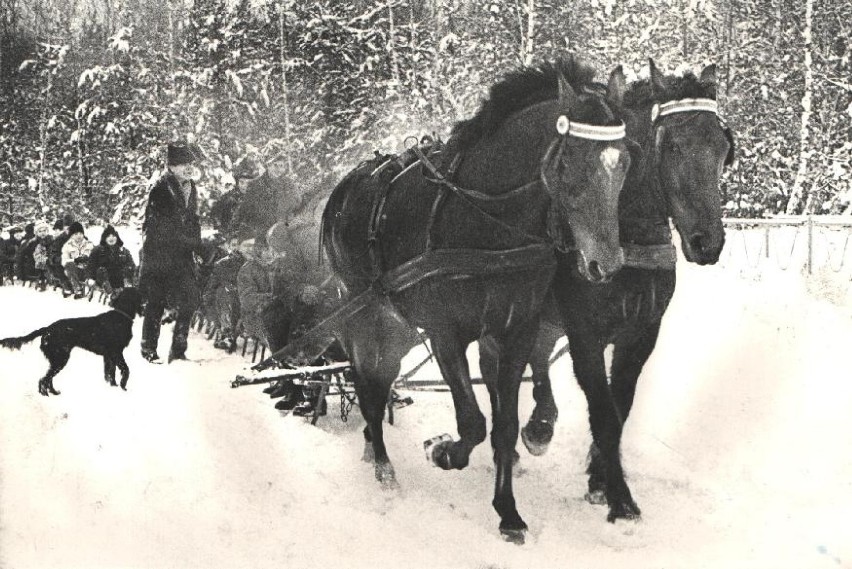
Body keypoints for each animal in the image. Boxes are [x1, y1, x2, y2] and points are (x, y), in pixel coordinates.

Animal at [0, 288, 145, 394]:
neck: (121, 316)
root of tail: (47, 329)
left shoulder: (109, 355)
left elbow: (110, 373)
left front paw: (113, 387)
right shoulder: (116, 352)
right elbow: (126, 369)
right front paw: (123, 386)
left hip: (57, 359)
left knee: (48, 378)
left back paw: (54, 392)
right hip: (61, 358)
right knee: (44, 379)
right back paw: (46, 394)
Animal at [322, 57, 628, 540]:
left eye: (626, 161)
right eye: (567, 162)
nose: (606, 264)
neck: (491, 223)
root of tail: (342, 190)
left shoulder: (516, 331)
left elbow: (504, 425)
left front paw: (508, 512)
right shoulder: (446, 333)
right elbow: (473, 422)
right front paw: (442, 450)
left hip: (397, 325)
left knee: (380, 381)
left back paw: (374, 448)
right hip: (365, 313)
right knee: (369, 385)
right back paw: (384, 468)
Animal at [482, 60, 736, 520]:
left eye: (724, 148)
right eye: (672, 146)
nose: (708, 242)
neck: (627, 234)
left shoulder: (640, 334)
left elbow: (620, 409)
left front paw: (599, 478)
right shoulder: (585, 334)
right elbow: (603, 412)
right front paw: (620, 497)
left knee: (537, 357)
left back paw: (540, 424)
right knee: (497, 369)